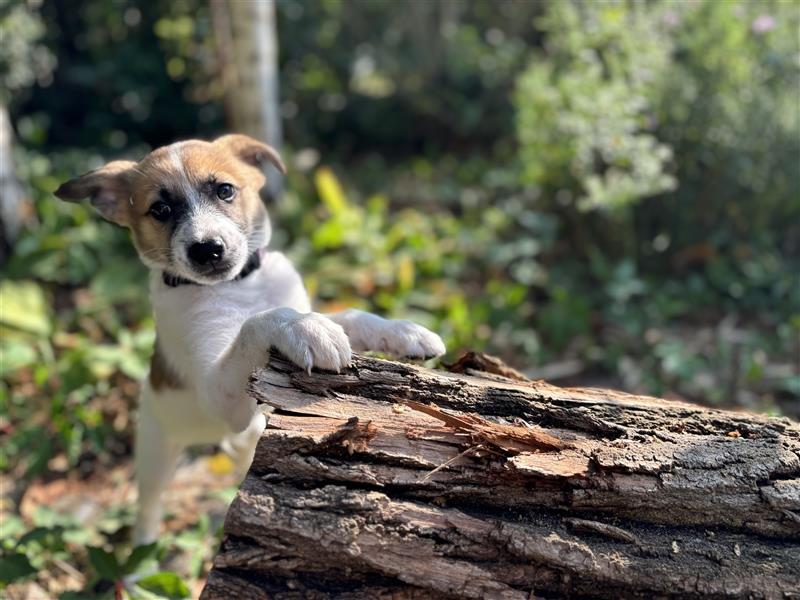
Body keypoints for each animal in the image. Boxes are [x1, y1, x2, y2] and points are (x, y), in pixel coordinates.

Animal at [56, 135, 446, 544]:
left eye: (225, 190)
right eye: (160, 209)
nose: (207, 249)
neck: (239, 286)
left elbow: (352, 316)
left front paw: (404, 332)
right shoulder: (217, 394)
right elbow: (254, 325)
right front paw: (303, 329)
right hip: (156, 450)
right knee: (149, 506)